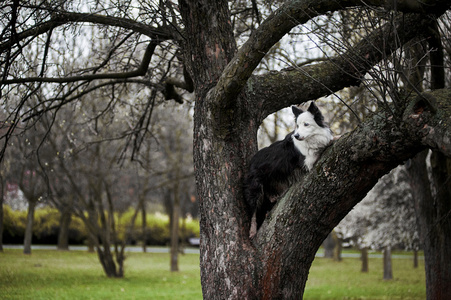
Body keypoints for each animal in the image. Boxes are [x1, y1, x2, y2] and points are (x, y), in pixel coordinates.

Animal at [245, 102, 334, 238]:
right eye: (297, 125)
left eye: (306, 124)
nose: (296, 136)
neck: (310, 139)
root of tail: (251, 162)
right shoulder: (308, 161)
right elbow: (319, 149)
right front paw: (332, 140)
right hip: (255, 187)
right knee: (253, 212)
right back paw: (253, 230)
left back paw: (274, 197)